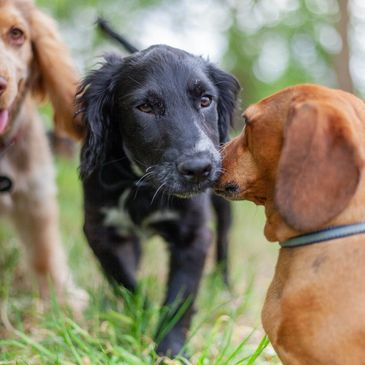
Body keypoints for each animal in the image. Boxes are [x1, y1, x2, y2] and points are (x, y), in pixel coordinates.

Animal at [77, 29, 239, 356]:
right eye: (145, 107)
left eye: (205, 100)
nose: (199, 168)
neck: (144, 186)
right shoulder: (99, 229)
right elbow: (124, 279)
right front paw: (138, 314)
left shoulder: (193, 235)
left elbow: (180, 296)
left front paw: (170, 350)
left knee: (225, 243)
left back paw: (226, 290)